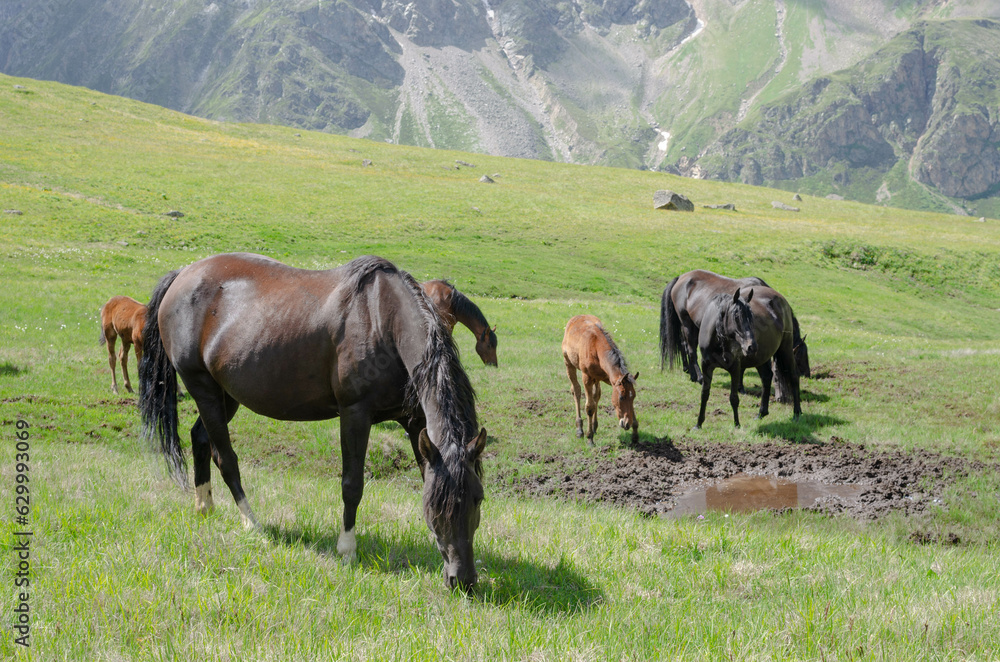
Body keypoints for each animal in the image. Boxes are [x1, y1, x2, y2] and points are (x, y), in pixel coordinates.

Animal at [138, 254, 488, 592]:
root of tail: (182, 275)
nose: (463, 581)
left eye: (478, 498)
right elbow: (352, 485)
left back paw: (205, 507)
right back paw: (252, 524)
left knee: (200, 438)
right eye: (440, 505)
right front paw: (346, 549)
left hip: (226, 395)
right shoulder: (355, 413)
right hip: (203, 388)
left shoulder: (415, 421)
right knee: (225, 458)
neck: (383, 319)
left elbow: (425, 473)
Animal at [564, 316, 640, 446]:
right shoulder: (587, 379)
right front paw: (590, 438)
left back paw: (594, 427)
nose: (627, 424)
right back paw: (580, 429)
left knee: (596, 395)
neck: (596, 347)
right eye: (621, 397)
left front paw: (635, 434)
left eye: (633, 396)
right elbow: (589, 407)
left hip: (597, 379)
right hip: (569, 364)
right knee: (576, 391)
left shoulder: (611, 380)